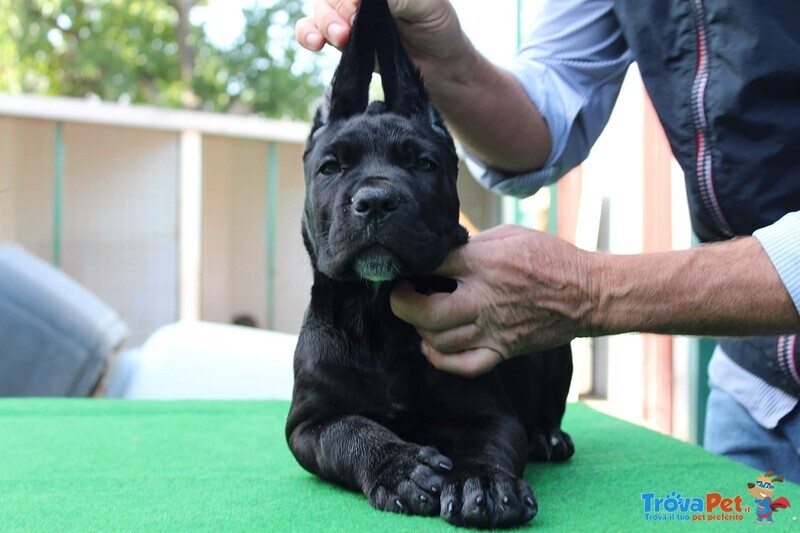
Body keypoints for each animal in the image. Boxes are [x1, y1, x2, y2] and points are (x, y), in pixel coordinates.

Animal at [288, 0, 576, 524]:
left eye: (423, 164)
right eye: (331, 167)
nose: (375, 201)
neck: (376, 315)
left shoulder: (490, 410)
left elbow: (487, 442)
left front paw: (482, 483)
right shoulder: (308, 424)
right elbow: (348, 432)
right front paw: (399, 466)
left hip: (554, 347)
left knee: (549, 404)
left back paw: (549, 437)